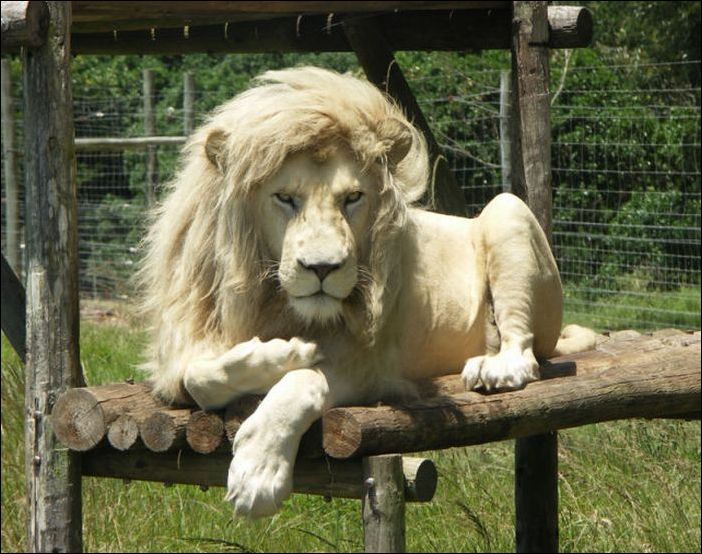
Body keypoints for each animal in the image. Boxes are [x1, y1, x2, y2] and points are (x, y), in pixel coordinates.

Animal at [139, 66, 597, 518]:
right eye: (285, 198)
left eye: (353, 197)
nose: (323, 268)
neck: (274, 301)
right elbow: (198, 377)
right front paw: (276, 355)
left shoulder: (373, 367)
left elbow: (303, 380)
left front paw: (258, 473)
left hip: (508, 210)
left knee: (524, 352)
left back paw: (495, 367)